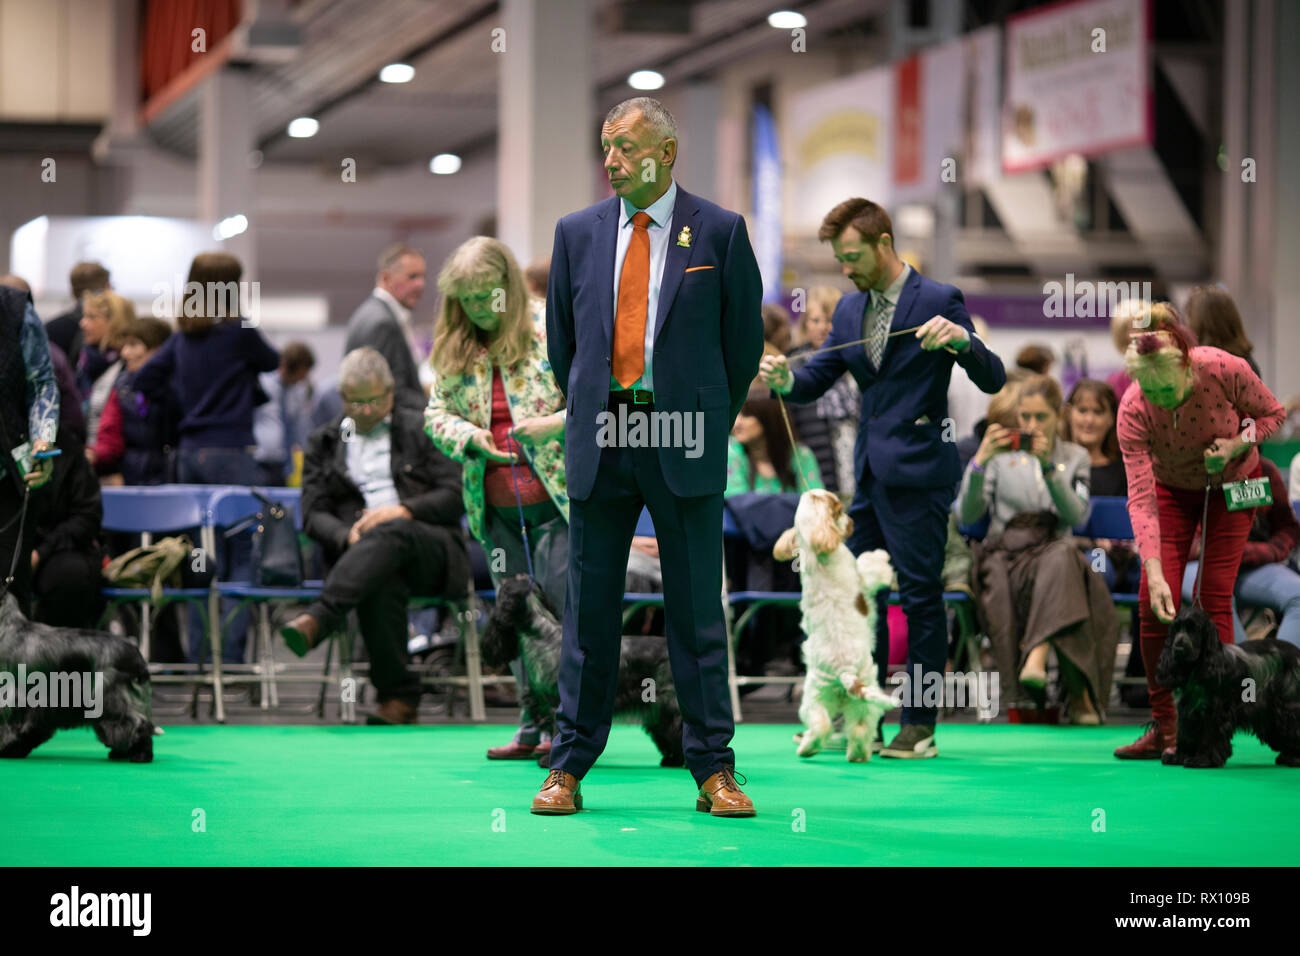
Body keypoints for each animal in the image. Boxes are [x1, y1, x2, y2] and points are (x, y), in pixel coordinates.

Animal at [769, 489, 894, 759]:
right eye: (839, 510)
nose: (852, 522)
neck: (815, 551)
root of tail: (845, 672)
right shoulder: (863, 577)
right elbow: (871, 565)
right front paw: (880, 556)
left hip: (821, 696)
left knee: (833, 726)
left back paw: (824, 750)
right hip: (834, 693)